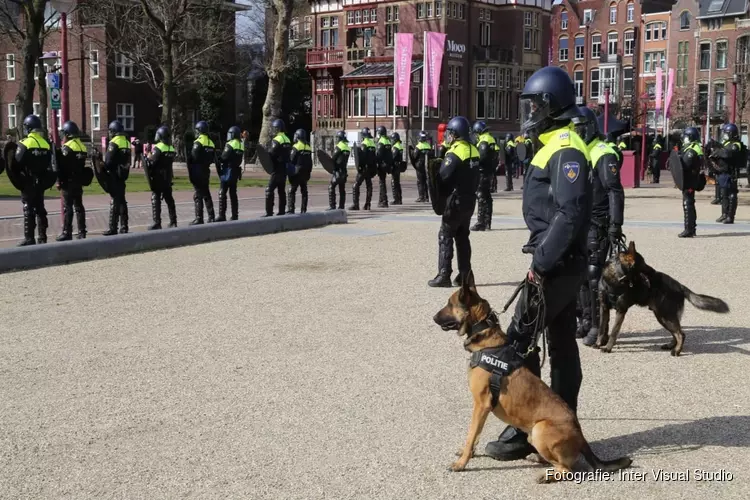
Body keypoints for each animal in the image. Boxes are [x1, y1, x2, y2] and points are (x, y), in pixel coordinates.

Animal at [434, 272, 636, 482]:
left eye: (449, 304)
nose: (433, 317)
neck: (485, 337)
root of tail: (581, 436)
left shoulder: (481, 405)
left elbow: (472, 434)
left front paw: (462, 463)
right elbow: (474, 436)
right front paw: (468, 454)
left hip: (540, 429)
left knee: (568, 469)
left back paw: (547, 475)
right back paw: (537, 458)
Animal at [596, 241, 732, 356]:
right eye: (644, 263)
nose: (654, 271)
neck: (614, 279)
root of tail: (680, 286)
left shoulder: (621, 310)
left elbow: (614, 332)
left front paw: (608, 348)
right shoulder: (604, 308)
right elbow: (601, 328)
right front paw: (598, 343)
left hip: (664, 316)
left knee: (681, 333)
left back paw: (676, 351)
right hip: (664, 316)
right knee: (677, 333)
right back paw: (672, 346)